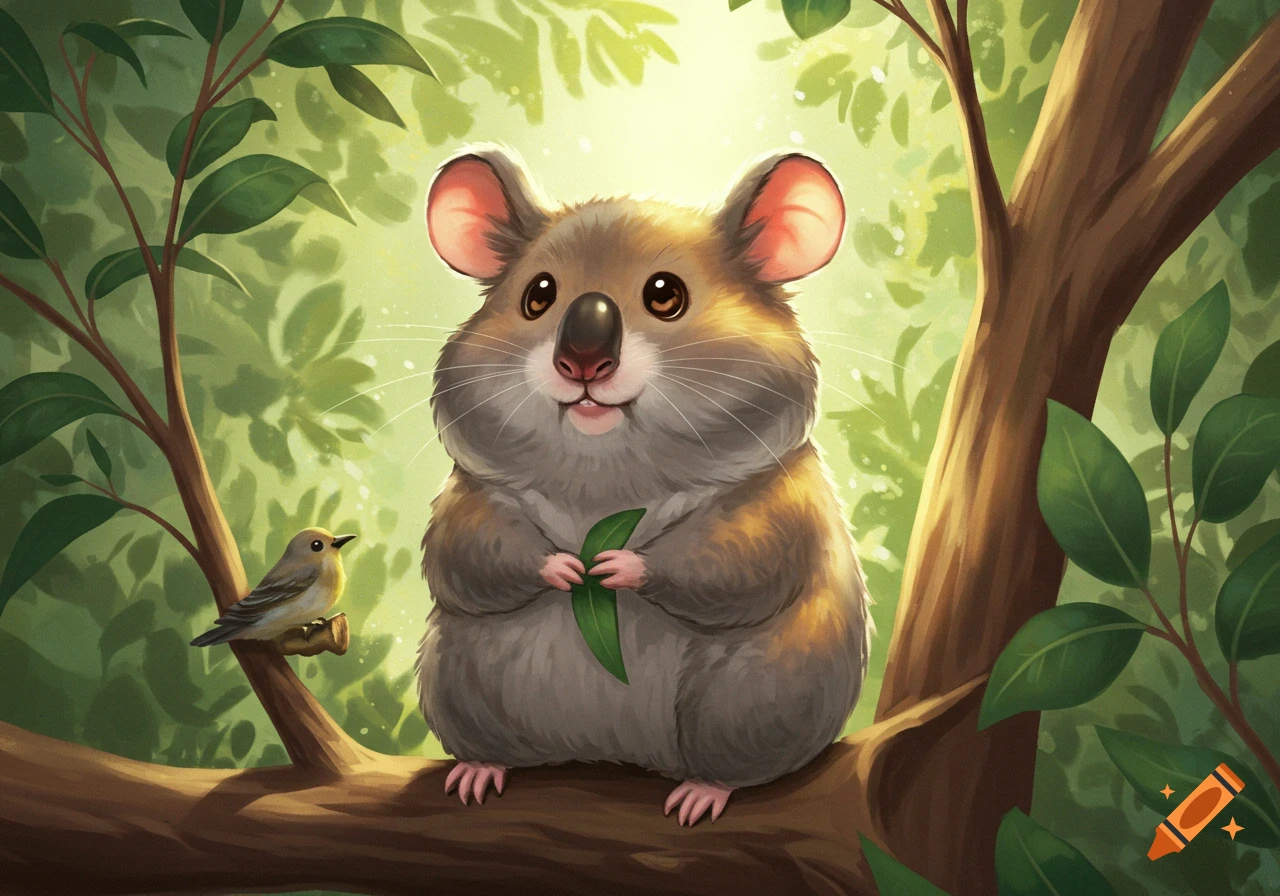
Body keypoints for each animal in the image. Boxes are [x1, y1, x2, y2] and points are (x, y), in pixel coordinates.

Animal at [416, 145, 870, 826]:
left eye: (666, 295)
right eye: (538, 295)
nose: (582, 357)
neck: (604, 473)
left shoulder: (776, 503)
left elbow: (732, 564)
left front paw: (614, 568)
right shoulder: (472, 495)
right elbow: (469, 555)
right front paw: (566, 569)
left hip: (747, 700)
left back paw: (700, 796)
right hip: (458, 683)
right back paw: (476, 773)